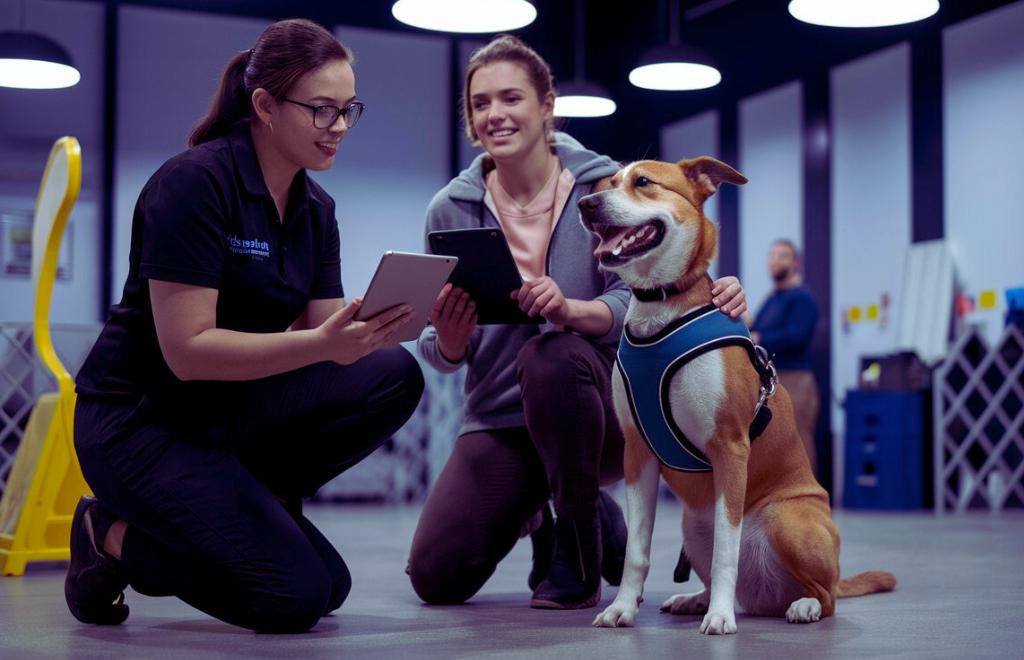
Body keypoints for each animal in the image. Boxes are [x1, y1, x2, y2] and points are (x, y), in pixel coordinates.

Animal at [581, 155, 892, 634]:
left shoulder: (729, 448)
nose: (586, 204)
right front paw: (623, 607)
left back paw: (802, 605)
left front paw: (721, 616)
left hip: (785, 520)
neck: (661, 306)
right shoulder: (638, 454)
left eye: (644, 182)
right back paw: (696, 599)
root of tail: (765, 593)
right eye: (608, 182)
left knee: (825, 595)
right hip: (694, 525)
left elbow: (726, 551)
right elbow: (637, 550)